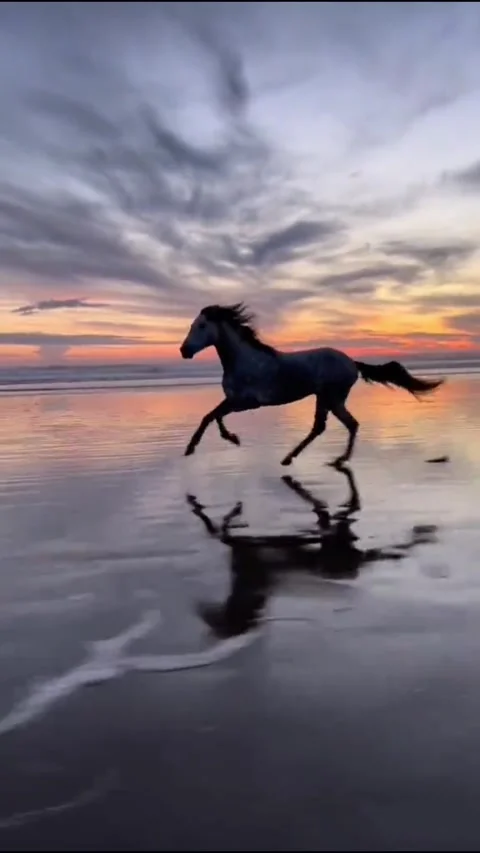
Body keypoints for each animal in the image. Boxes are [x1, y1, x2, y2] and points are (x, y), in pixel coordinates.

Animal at [179, 303, 444, 466]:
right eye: (191, 325)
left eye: (201, 325)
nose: (184, 351)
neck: (245, 359)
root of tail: (352, 362)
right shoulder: (234, 400)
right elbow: (212, 416)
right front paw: (226, 439)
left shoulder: (246, 402)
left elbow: (211, 416)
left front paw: (199, 446)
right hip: (326, 398)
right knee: (329, 426)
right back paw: (296, 458)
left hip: (332, 397)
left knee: (344, 425)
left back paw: (334, 460)